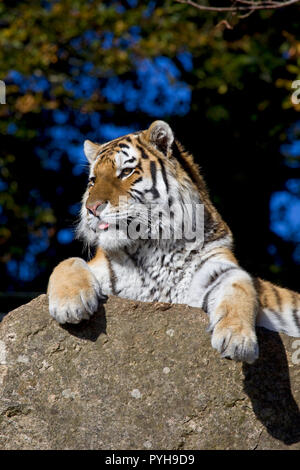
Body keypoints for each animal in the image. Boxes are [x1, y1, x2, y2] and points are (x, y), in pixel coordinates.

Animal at [47, 118, 300, 364]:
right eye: (92, 181)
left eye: (126, 171)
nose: (91, 208)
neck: (151, 245)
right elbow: (67, 262)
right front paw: (70, 305)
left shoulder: (220, 269)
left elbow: (240, 289)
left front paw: (237, 340)